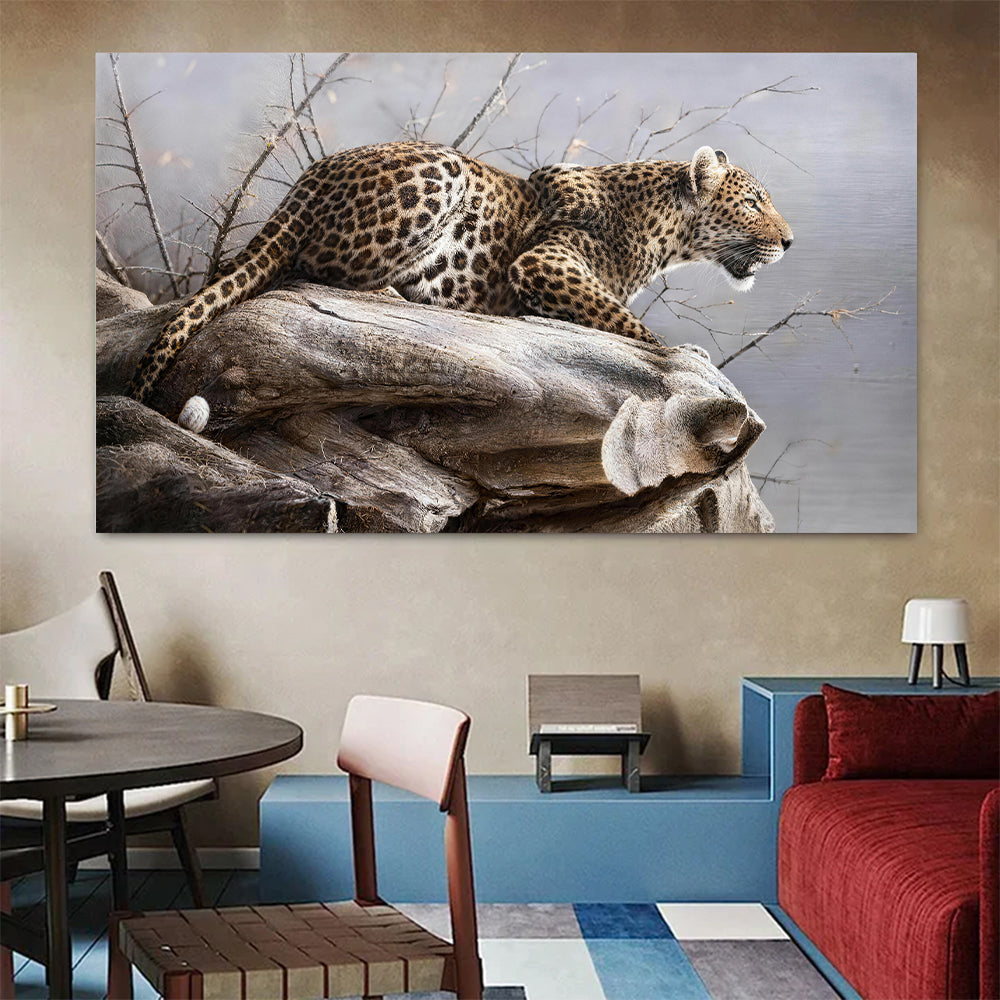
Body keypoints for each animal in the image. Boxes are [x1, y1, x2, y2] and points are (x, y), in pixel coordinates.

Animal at [126, 140, 792, 412]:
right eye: (754, 201)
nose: (789, 242)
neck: (665, 232)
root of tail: (307, 181)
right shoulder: (546, 261)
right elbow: (622, 319)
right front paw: (684, 357)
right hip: (442, 171)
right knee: (316, 268)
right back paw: (405, 293)